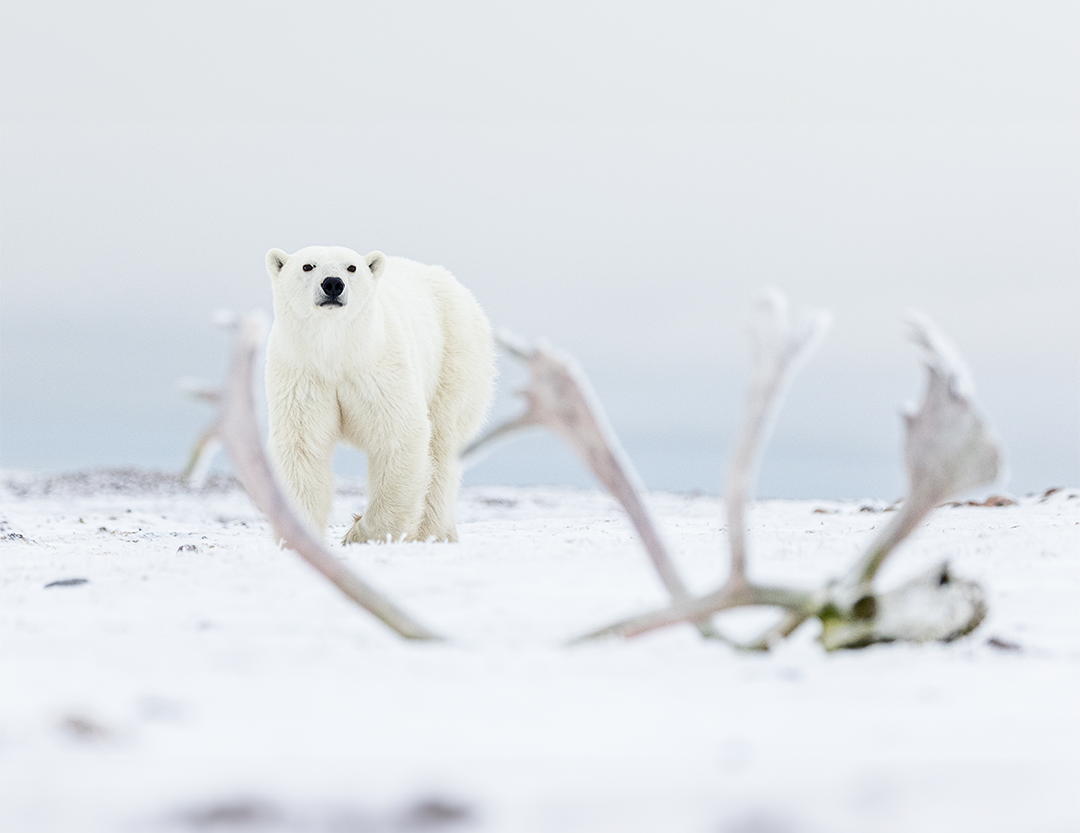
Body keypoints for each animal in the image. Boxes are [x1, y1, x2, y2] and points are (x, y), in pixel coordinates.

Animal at [264, 245, 495, 544]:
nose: (333, 284)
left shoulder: (379, 369)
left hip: (455, 358)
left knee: (442, 444)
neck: (336, 353)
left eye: (351, 267)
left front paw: (359, 533)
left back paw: (432, 532)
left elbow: (398, 434)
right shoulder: (303, 376)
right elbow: (302, 446)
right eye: (307, 266)